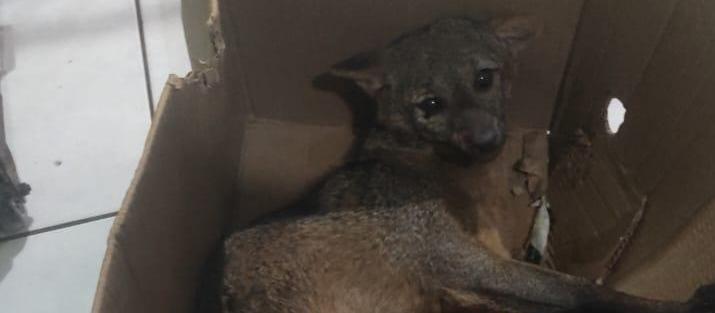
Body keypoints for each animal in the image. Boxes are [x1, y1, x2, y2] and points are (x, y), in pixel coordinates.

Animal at [221, 17, 712, 312]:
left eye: (483, 78)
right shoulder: (456, 260)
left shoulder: (479, 264)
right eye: (430, 104)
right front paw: (680, 304)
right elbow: (585, 291)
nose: (487, 140)